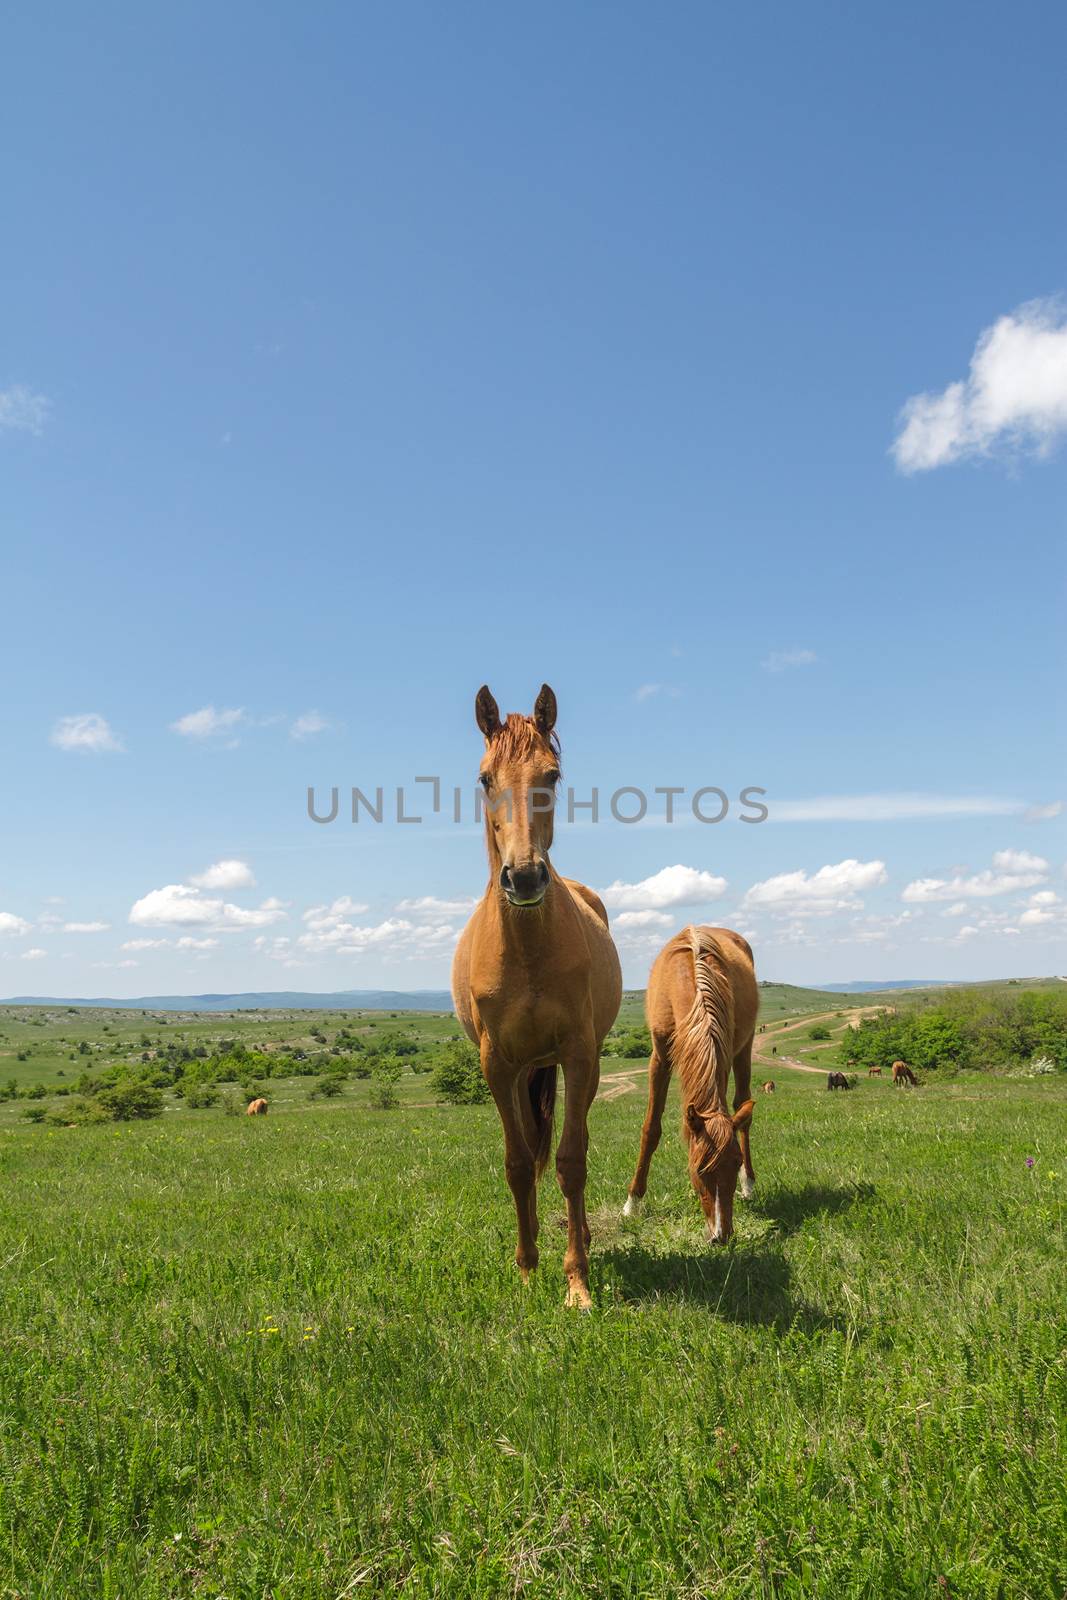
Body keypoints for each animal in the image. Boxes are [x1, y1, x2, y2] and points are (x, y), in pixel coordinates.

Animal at [454, 681, 620, 1305]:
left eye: (552, 774)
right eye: (484, 778)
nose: (523, 877)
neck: (525, 948)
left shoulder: (578, 1053)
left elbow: (571, 1160)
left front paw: (577, 1282)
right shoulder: (498, 1064)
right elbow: (519, 1163)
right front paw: (527, 1268)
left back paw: (586, 1237)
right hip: (527, 1069)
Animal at [620, 928, 764, 1248]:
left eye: (735, 1162)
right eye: (699, 1169)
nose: (722, 1235)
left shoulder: (722, 1053)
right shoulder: (659, 1058)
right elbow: (651, 1129)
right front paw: (632, 1204)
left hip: (745, 1045)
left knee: (743, 1108)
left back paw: (749, 1184)